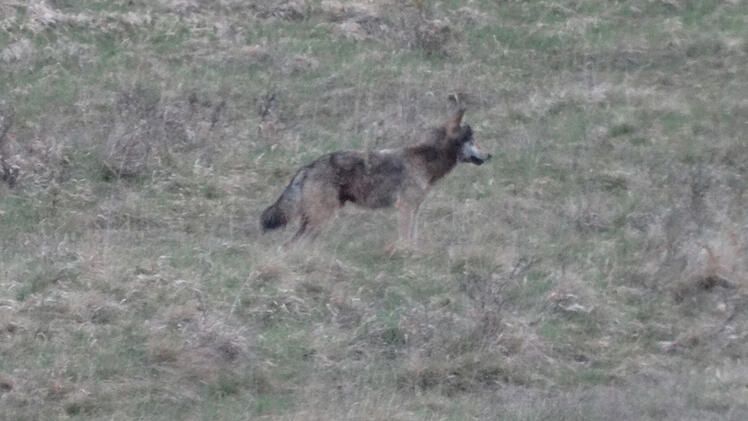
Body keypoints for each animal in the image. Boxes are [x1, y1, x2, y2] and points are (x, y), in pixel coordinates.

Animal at [260, 109, 491, 249]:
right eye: (473, 140)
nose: (490, 155)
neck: (425, 161)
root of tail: (306, 168)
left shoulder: (415, 209)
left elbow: (412, 239)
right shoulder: (405, 208)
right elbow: (405, 240)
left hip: (315, 223)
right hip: (321, 220)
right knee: (292, 245)